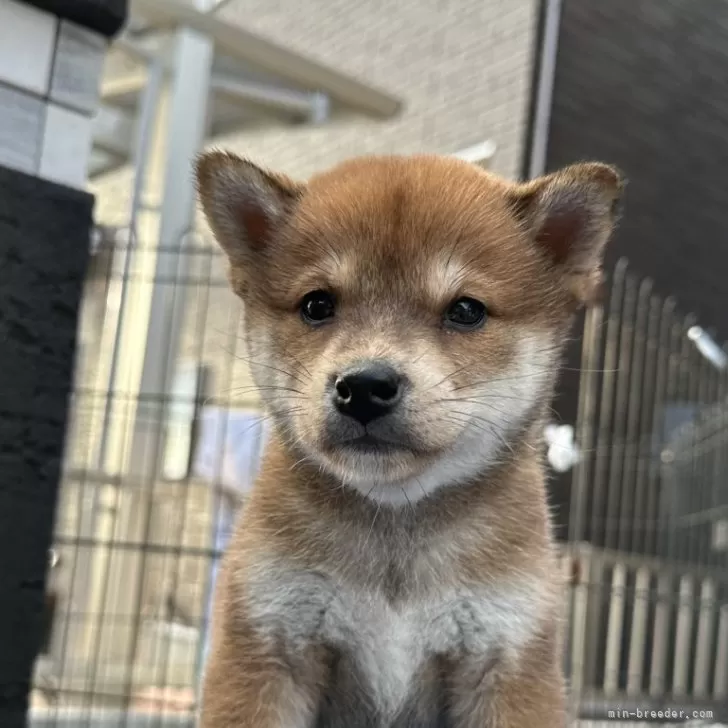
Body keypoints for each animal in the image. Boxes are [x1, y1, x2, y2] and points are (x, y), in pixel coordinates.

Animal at [196, 149, 624, 728]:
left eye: (466, 310)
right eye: (316, 305)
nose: (364, 386)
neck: (395, 528)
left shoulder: (506, 656)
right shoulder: (269, 641)